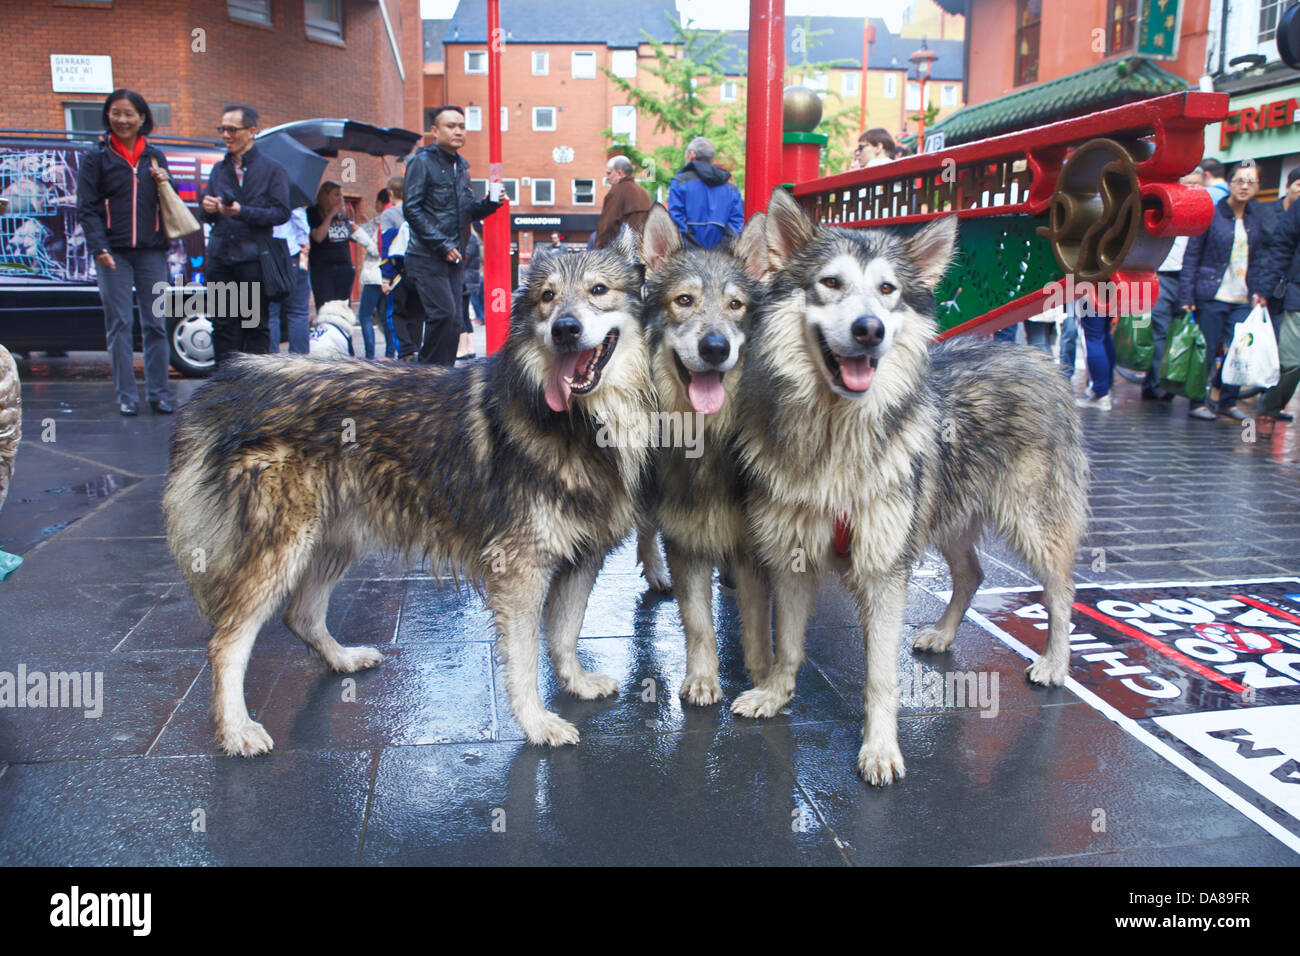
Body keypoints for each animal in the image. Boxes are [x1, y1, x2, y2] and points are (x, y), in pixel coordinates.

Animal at [733, 192, 1086, 785]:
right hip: (946, 517)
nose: (869, 330)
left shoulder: (884, 571)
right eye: (830, 283)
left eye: (887, 290)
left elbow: (880, 675)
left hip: (1032, 525)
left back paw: (1055, 663)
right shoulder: (794, 558)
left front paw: (879, 749)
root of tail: (1041, 359)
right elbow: (788, 647)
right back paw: (943, 634)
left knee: (1062, 595)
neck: (837, 437)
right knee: (972, 574)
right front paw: (776, 695)